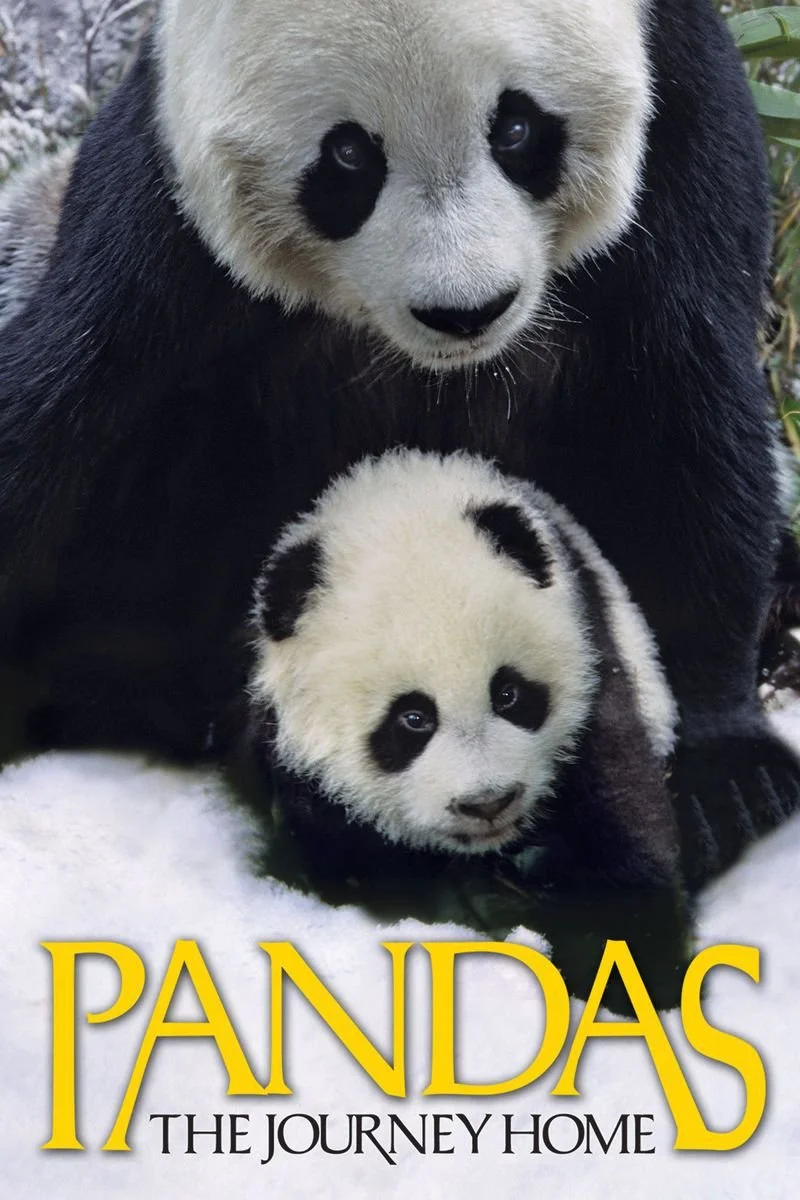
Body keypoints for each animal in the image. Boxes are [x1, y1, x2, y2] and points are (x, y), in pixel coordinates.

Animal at [0, 0, 795, 892]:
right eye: (349, 153)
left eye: (517, 128)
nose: (467, 311)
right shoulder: (164, 197)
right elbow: (68, 403)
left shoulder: (685, 125)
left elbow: (682, 413)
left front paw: (726, 777)